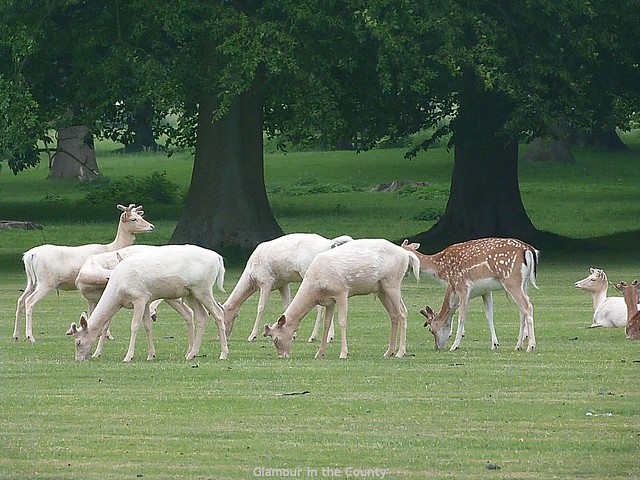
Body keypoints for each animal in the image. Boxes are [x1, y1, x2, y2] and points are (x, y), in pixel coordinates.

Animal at [14, 204, 154, 344]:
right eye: (133, 219)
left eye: (141, 216)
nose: (152, 226)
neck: (110, 248)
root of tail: (29, 255)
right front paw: (107, 335)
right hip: (46, 281)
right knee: (29, 301)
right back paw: (30, 336)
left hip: (32, 281)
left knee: (21, 300)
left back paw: (16, 335)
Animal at [67, 246, 228, 362]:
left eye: (78, 342)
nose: (78, 359)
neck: (119, 290)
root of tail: (218, 258)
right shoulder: (146, 299)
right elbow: (147, 326)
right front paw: (151, 355)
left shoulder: (139, 297)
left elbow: (134, 326)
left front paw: (128, 357)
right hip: (191, 293)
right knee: (201, 316)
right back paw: (191, 354)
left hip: (203, 288)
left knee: (218, 313)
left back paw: (223, 354)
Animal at [264, 238, 420, 358]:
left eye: (276, 339)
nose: (282, 355)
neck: (316, 286)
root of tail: (406, 254)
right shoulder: (329, 301)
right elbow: (327, 324)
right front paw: (319, 353)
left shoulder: (342, 292)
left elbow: (342, 321)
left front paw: (343, 353)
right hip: (381, 289)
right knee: (393, 315)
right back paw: (389, 352)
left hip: (392, 282)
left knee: (403, 312)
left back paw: (400, 352)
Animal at [404, 237, 540, 352]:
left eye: (431, 330)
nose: (437, 347)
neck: (438, 266)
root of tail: (529, 249)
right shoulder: (485, 290)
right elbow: (489, 315)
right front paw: (494, 344)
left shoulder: (462, 286)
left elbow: (461, 316)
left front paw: (455, 345)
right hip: (524, 283)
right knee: (522, 311)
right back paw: (518, 345)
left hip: (511, 280)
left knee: (527, 306)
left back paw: (531, 346)